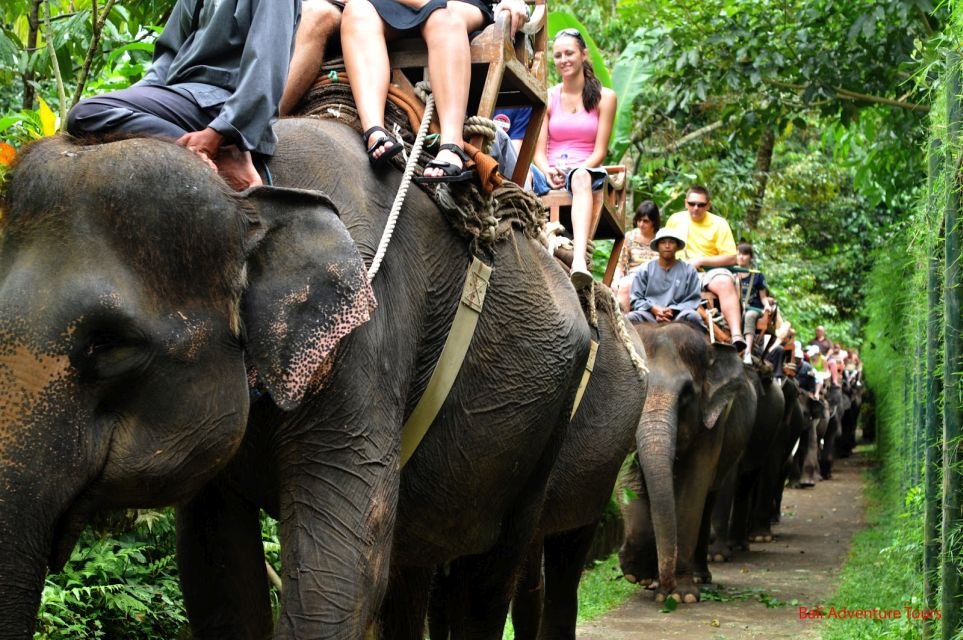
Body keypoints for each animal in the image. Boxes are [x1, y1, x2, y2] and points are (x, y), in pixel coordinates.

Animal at [0, 116, 592, 640]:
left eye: (109, 345)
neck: (253, 192)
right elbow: (217, 574)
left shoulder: (369, 337)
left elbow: (340, 568)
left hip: (549, 427)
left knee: (487, 582)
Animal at [612, 322, 756, 604]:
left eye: (686, 394)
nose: (665, 588)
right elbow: (628, 479)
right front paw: (640, 574)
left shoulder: (713, 423)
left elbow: (692, 488)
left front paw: (682, 595)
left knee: (708, 498)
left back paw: (699, 577)